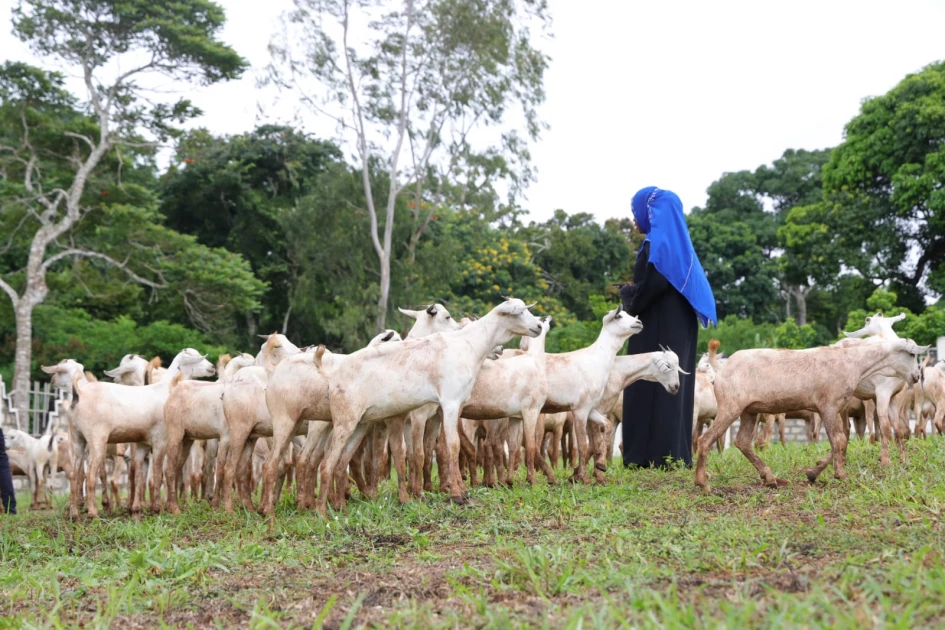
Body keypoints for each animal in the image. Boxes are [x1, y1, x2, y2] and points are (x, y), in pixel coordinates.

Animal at [68, 348, 215, 518]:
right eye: (193, 357)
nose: (212, 367)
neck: (166, 389)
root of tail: (78, 393)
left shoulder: (141, 443)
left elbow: (139, 476)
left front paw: (137, 510)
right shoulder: (160, 440)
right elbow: (158, 474)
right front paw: (157, 509)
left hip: (77, 438)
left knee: (74, 474)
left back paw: (74, 515)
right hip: (96, 438)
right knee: (90, 474)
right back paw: (93, 514)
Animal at [312, 298, 543, 515]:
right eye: (519, 312)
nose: (539, 327)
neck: (469, 345)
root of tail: (332, 375)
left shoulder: (449, 408)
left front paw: (460, 491)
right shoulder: (448, 404)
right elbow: (450, 446)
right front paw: (456, 494)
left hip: (361, 423)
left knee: (341, 464)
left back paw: (341, 506)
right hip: (344, 421)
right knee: (326, 464)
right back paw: (322, 511)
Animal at [538, 306, 643, 484]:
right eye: (619, 316)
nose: (639, 323)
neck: (596, 360)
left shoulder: (591, 408)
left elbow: (606, 427)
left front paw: (600, 466)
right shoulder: (579, 409)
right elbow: (582, 445)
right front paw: (583, 478)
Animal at [694, 338, 926, 492]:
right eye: (911, 354)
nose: (917, 376)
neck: (854, 363)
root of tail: (721, 368)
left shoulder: (831, 409)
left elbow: (841, 440)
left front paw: (814, 472)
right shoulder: (829, 406)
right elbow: (839, 440)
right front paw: (840, 475)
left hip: (749, 410)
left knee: (742, 441)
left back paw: (770, 477)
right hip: (730, 406)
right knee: (704, 440)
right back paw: (702, 483)